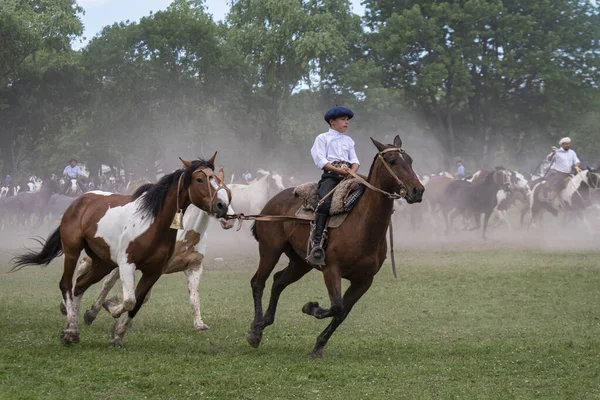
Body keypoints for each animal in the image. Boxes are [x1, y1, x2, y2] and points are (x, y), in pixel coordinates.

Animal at [246, 136, 424, 358]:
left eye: (410, 160)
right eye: (392, 161)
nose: (418, 191)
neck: (363, 224)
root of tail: (270, 203)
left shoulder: (364, 280)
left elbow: (342, 313)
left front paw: (318, 346)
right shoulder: (332, 270)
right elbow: (337, 306)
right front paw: (310, 307)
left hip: (300, 263)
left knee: (278, 281)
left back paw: (264, 323)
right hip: (270, 250)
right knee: (258, 282)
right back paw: (255, 331)